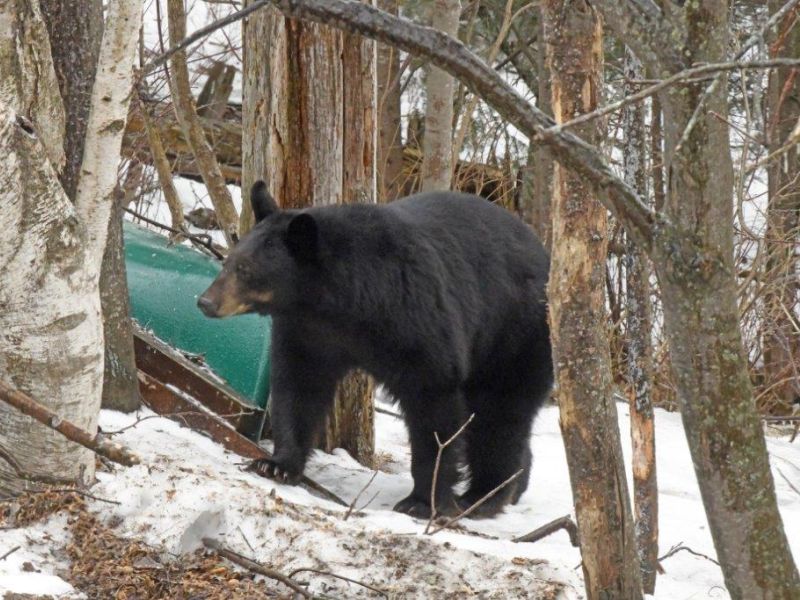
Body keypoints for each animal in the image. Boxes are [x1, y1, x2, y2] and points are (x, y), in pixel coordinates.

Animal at [198, 181, 552, 518]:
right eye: (229, 260)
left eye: (245, 269)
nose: (205, 302)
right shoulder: (309, 332)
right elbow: (299, 387)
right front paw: (276, 464)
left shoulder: (414, 317)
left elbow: (433, 401)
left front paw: (422, 501)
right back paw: (513, 488)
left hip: (515, 334)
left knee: (501, 414)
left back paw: (484, 496)